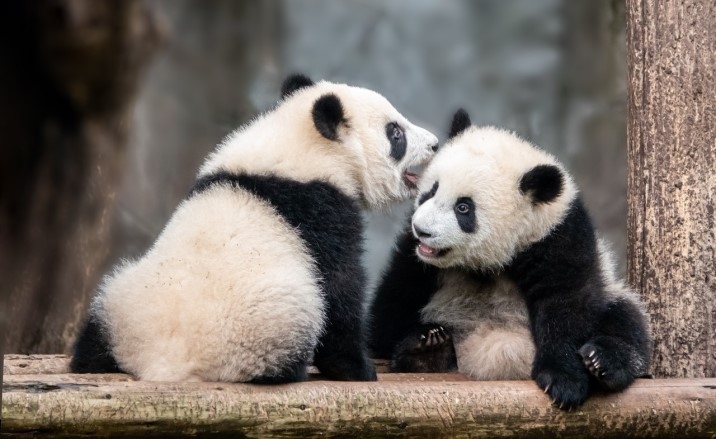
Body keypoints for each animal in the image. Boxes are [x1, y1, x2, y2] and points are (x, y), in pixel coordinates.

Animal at [70, 74, 439, 383]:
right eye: (395, 133)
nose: (435, 143)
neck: (303, 147)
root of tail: (163, 365)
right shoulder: (321, 211)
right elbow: (339, 286)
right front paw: (355, 369)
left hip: (123, 300)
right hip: (265, 323)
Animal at [369, 109, 652, 409]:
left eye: (463, 208)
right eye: (431, 191)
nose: (422, 230)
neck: (487, 263)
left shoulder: (558, 237)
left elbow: (567, 303)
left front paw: (564, 381)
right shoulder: (414, 259)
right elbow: (389, 311)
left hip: (612, 291)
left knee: (626, 318)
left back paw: (602, 360)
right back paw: (428, 351)